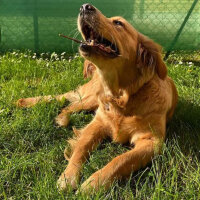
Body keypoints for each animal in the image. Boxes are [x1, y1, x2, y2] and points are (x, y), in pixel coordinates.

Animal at [16, 3, 177, 192]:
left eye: (118, 23)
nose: (85, 7)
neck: (122, 96)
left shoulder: (152, 141)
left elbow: (121, 160)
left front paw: (93, 184)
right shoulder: (97, 123)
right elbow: (81, 148)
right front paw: (68, 176)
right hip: (90, 100)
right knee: (66, 104)